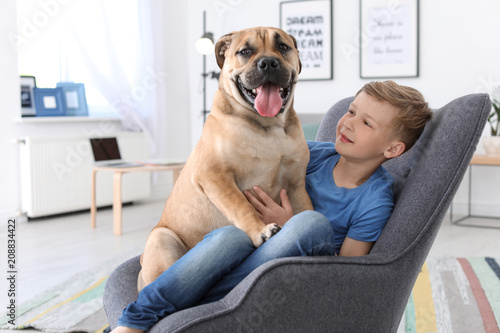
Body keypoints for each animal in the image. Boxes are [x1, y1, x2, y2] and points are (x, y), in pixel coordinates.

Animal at [139, 27, 312, 290]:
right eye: (245, 51)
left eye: (283, 47)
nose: (268, 63)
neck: (268, 128)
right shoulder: (214, 175)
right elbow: (241, 206)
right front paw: (261, 231)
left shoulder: (296, 186)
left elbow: (307, 210)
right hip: (161, 239)